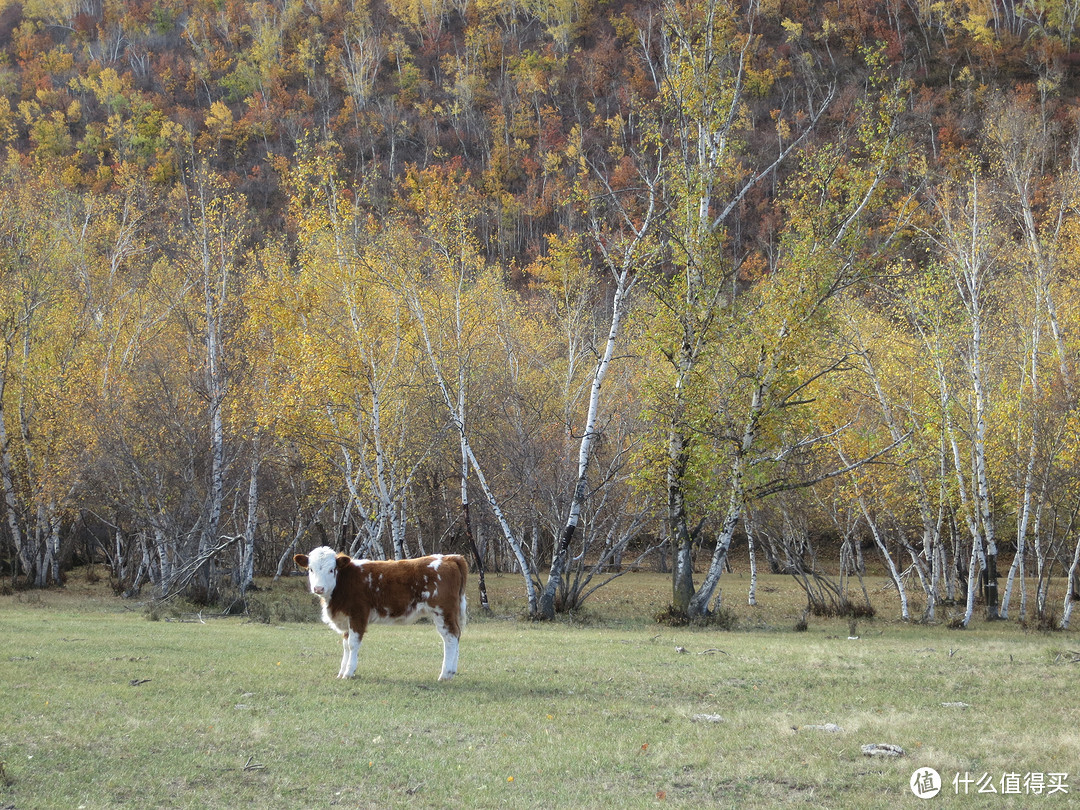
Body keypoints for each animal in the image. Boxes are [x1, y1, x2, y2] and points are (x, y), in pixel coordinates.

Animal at [293, 548, 466, 682]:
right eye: (311, 569)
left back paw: (445, 674)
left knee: (450, 638)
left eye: (331, 569)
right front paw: (341, 672)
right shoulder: (346, 620)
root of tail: (449, 557)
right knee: (457, 635)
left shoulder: (358, 615)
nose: (318, 588)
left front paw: (349, 673)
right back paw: (452, 672)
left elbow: (352, 644)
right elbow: (345, 645)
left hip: (442, 611)